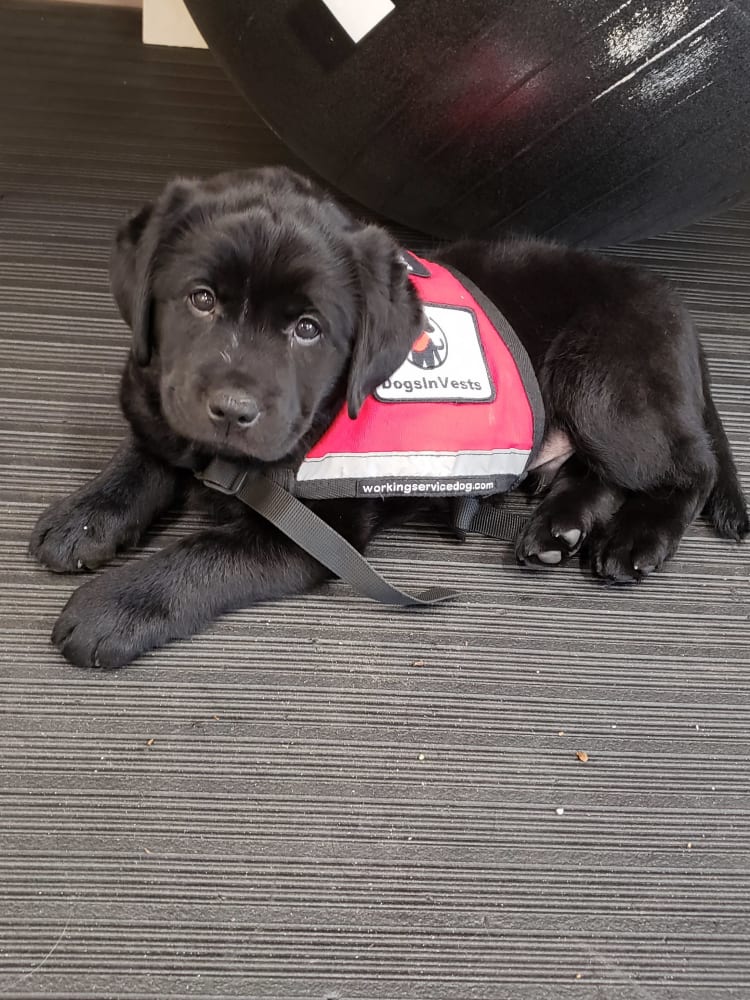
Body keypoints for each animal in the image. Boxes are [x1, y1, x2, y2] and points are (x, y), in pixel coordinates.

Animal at [29, 166, 748, 664]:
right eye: (200, 299)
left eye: (308, 329)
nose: (233, 411)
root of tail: (673, 306)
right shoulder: (168, 396)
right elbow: (148, 446)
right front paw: (84, 514)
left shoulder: (318, 530)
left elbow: (203, 554)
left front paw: (113, 607)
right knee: (596, 473)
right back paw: (557, 530)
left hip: (606, 387)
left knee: (687, 469)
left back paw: (635, 540)